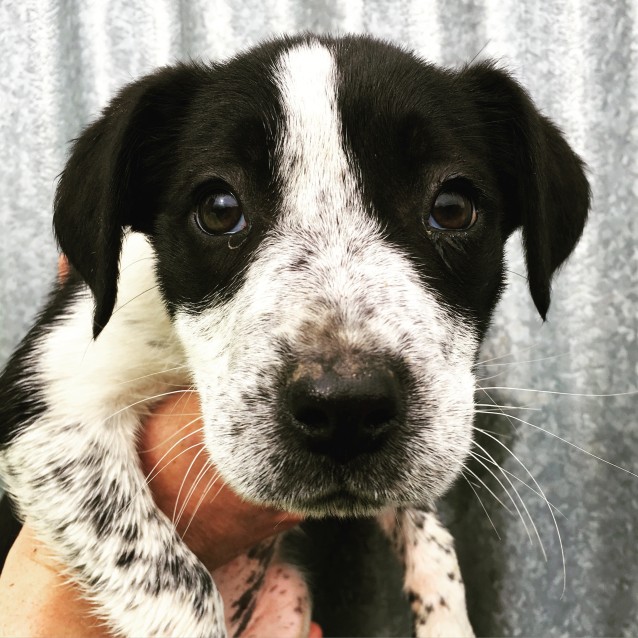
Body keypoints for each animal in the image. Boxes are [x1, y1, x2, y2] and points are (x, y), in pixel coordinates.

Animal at [0, 36, 592, 638]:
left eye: (452, 208)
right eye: (219, 209)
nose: (345, 410)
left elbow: (430, 537)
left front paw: (447, 621)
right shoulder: (54, 410)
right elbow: (176, 585)